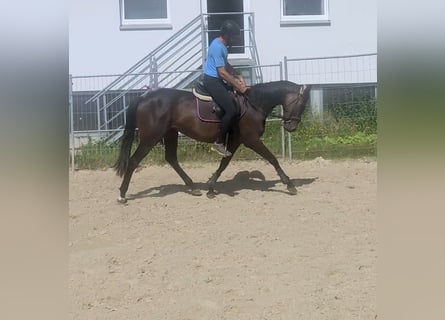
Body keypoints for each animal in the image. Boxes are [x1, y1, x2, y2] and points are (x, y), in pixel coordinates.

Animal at [113, 80, 308, 202]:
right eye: (301, 104)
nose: (292, 127)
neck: (253, 105)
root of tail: (144, 97)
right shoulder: (251, 139)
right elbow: (272, 158)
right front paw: (289, 184)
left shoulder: (236, 140)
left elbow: (224, 163)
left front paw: (211, 186)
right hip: (150, 138)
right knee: (133, 161)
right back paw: (122, 194)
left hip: (170, 133)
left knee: (171, 159)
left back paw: (193, 187)